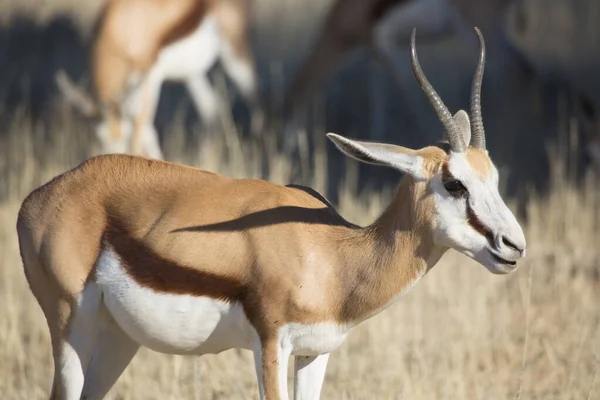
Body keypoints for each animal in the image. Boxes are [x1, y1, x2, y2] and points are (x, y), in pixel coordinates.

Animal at [17, 28, 524, 400]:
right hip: (71, 324)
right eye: (454, 183)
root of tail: (39, 196)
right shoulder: (271, 344)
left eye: (495, 177)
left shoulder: (316, 353)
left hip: (118, 337)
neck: (333, 257)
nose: (513, 246)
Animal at [55, 0, 262, 159]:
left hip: (235, 53)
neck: (122, 29)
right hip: (192, 74)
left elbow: (142, 130)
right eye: (100, 138)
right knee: (212, 110)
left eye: (124, 136)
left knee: (257, 103)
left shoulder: (150, 79)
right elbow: (149, 133)